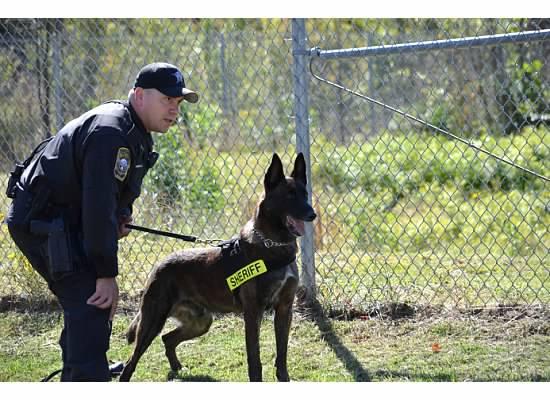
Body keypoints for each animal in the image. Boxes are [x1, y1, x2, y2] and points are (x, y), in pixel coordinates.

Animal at [121, 153, 320, 382]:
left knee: (167, 338)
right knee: (132, 360)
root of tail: (159, 265)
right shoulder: (253, 312)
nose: (312, 214)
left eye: (305, 194)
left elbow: (282, 354)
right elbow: (254, 357)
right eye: (289, 196)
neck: (274, 244)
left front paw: (284, 378)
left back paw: (177, 368)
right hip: (153, 321)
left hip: (201, 322)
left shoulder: (285, 309)